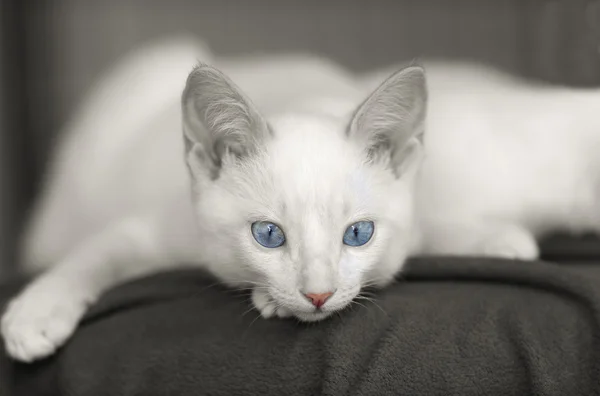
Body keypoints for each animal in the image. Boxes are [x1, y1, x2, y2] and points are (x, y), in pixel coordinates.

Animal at [1, 38, 600, 364]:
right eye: (268, 235)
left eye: (358, 233)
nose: (317, 294)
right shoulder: (163, 226)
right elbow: (97, 253)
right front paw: (36, 311)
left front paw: (494, 238)